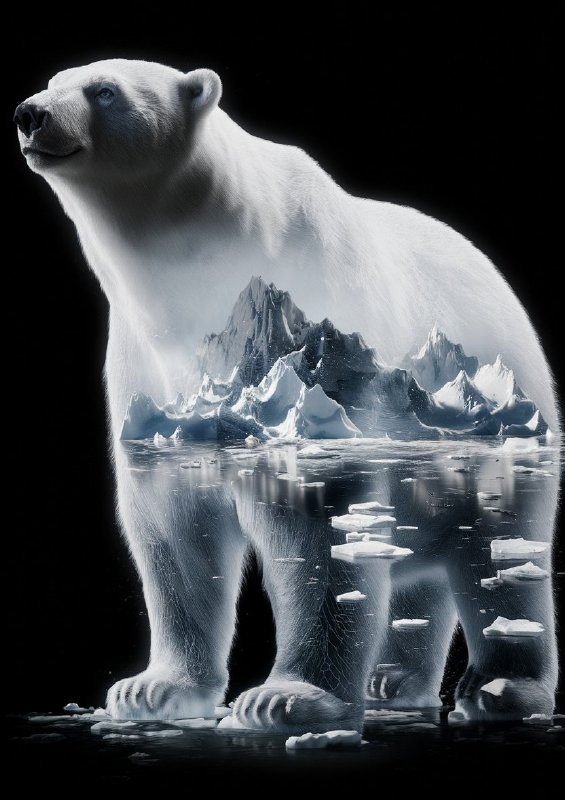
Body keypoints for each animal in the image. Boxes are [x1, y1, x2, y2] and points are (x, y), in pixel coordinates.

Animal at [15, 59, 559, 730]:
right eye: (54, 80)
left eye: (105, 90)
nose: (31, 114)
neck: (200, 271)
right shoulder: (145, 365)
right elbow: (175, 528)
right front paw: (151, 688)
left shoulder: (316, 346)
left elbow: (320, 528)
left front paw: (286, 698)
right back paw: (391, 678)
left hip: (498, 436)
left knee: (499, 559)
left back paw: (502, 689)